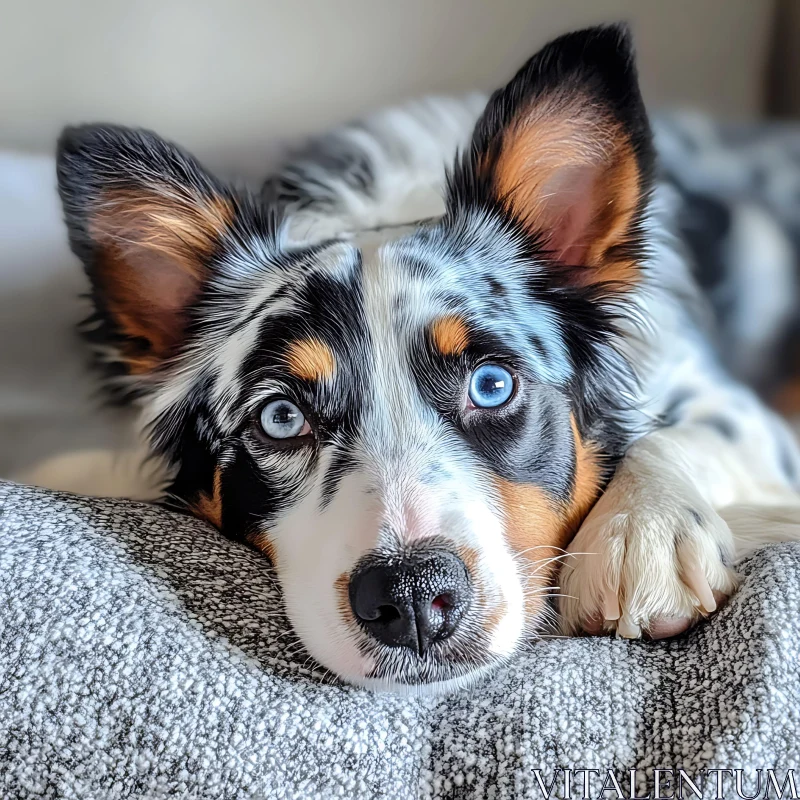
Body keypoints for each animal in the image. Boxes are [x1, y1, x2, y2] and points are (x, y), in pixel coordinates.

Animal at [53, 23, 800, 688]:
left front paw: (643, 533)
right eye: (281, 418)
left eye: (492, 385)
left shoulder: (729, 405)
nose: (410, 597)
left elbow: (680, 433)